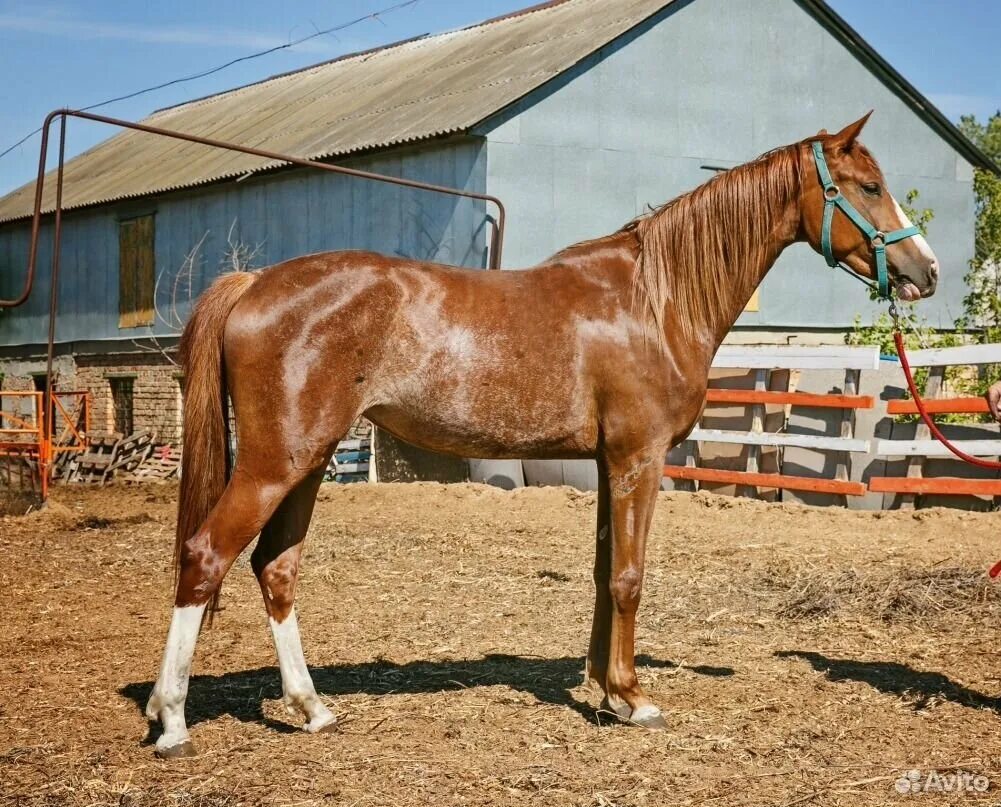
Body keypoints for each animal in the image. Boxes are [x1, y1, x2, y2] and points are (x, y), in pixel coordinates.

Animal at [146, 113, 936, 756]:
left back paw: (310, 708)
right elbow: (629, 577)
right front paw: (634, 698)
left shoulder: (607, 462)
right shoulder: (638, 458)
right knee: (205, 556)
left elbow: (603, 572)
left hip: (306, 462)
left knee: (274, 568)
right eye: (867, 186)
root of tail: (253, 283)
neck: (654, 298)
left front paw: (603, 688)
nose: (924, 271)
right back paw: (174, 720)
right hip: (275, 462)